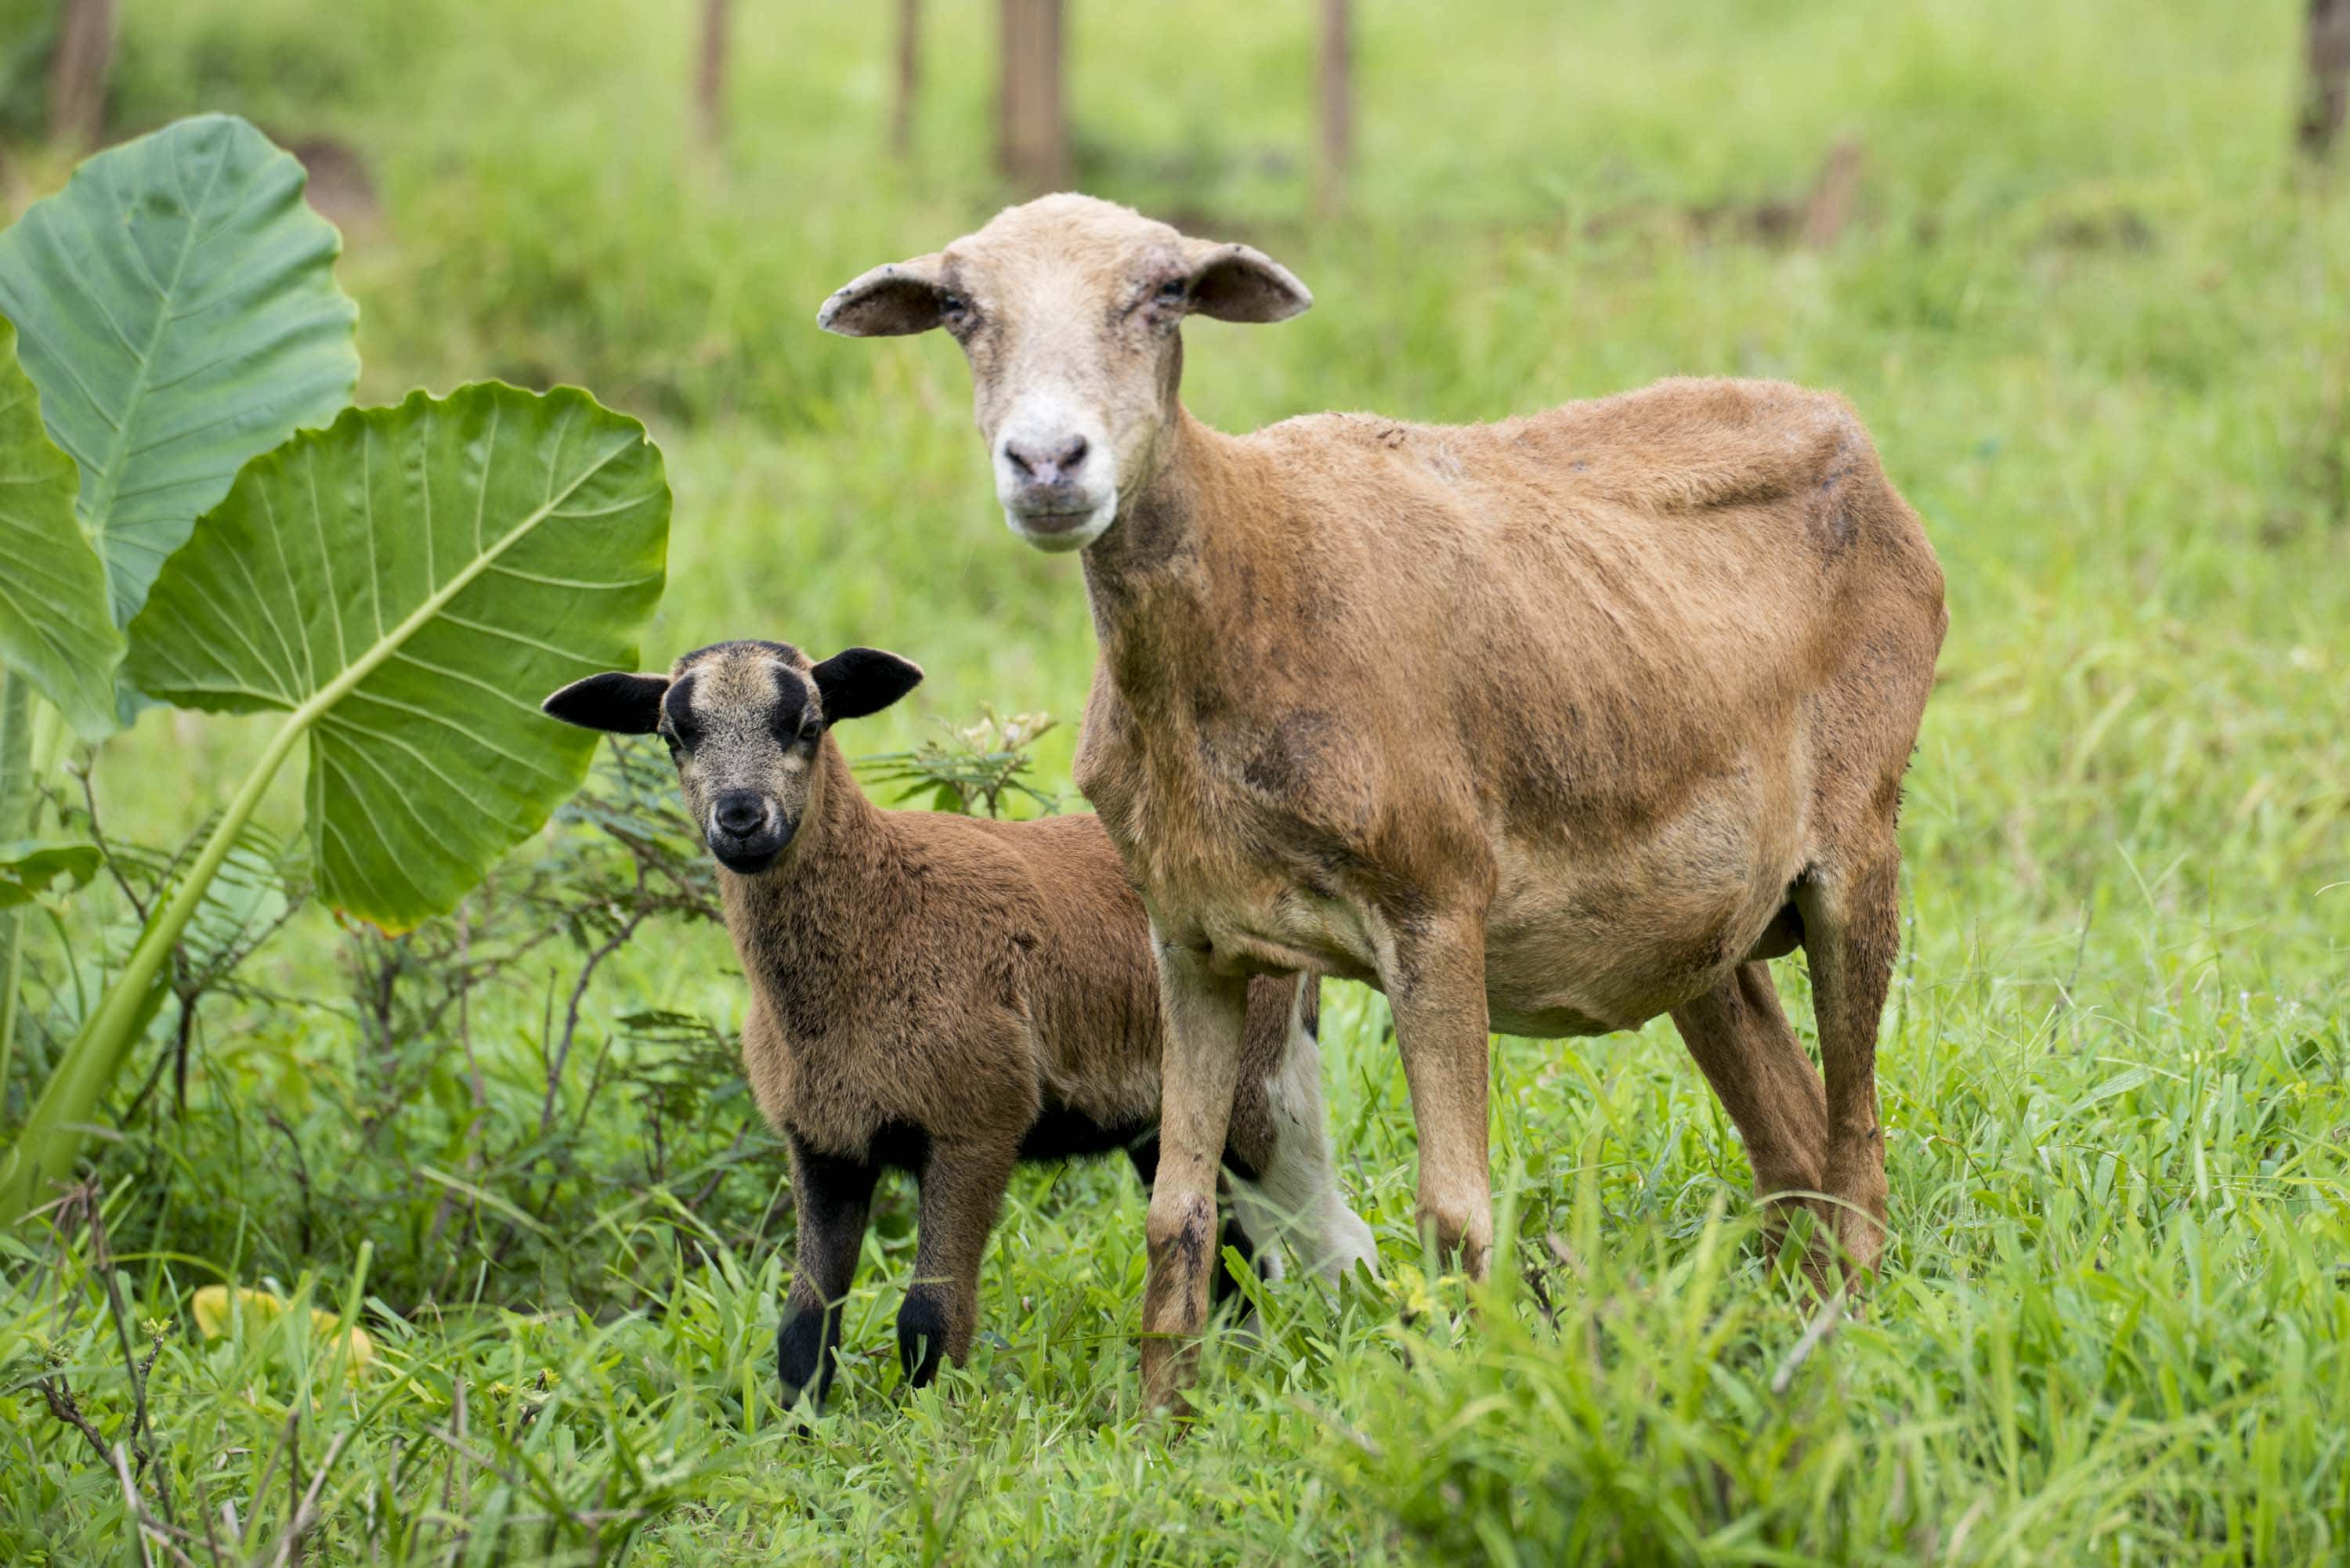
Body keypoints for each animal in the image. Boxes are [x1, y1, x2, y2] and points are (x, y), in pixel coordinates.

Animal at [538, 639, 1372, 1410]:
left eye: (807, 724)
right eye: (673, 736)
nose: (741, 819)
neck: (883, 911)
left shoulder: (976, 1124)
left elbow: (929, 1319)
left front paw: (928, 1432)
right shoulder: (825, 1143)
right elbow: (804, 1327)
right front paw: (799, 1434)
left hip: (1265, 1089)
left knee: (1336, 1241)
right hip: (1165, 1122)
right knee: (1231, 1255)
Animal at [822, 196, 1946, 1410]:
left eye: (1164, 293)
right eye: (957, 307)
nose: (1047, 462)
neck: (1251, 576)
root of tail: (1854, 438)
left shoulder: (1436, 908)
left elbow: (1455, 1213)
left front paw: (1472, 1397)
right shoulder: (1190, 937)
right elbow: (1177, 1212)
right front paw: (1161, 1420)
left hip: (1857, 848)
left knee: (1859, 1145)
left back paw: (1845, 1333)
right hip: (1708, 932)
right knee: (1793, 1148)